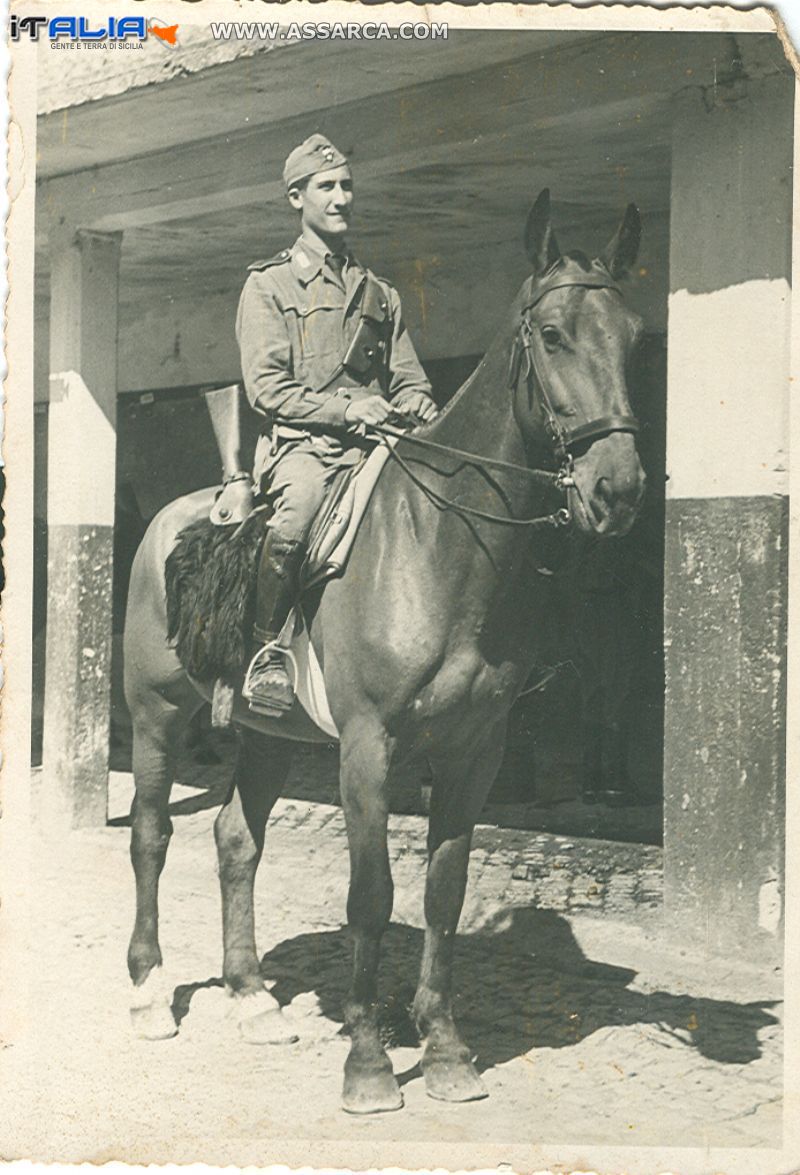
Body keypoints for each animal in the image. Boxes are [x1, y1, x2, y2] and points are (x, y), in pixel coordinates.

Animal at [121, 190, 643, 1109]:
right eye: (552, 334)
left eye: (636, 334)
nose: (618, 488)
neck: (438, 545)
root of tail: (171, 523)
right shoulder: (367, 747)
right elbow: (371, 895)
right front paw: (368, 1062)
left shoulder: (474, 750)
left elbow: (443, 892)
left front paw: (444, 1048)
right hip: (155, 714)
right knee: (152, 835)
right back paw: (151, 993)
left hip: (266, 733)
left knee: (235, 841)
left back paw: (252, 999)